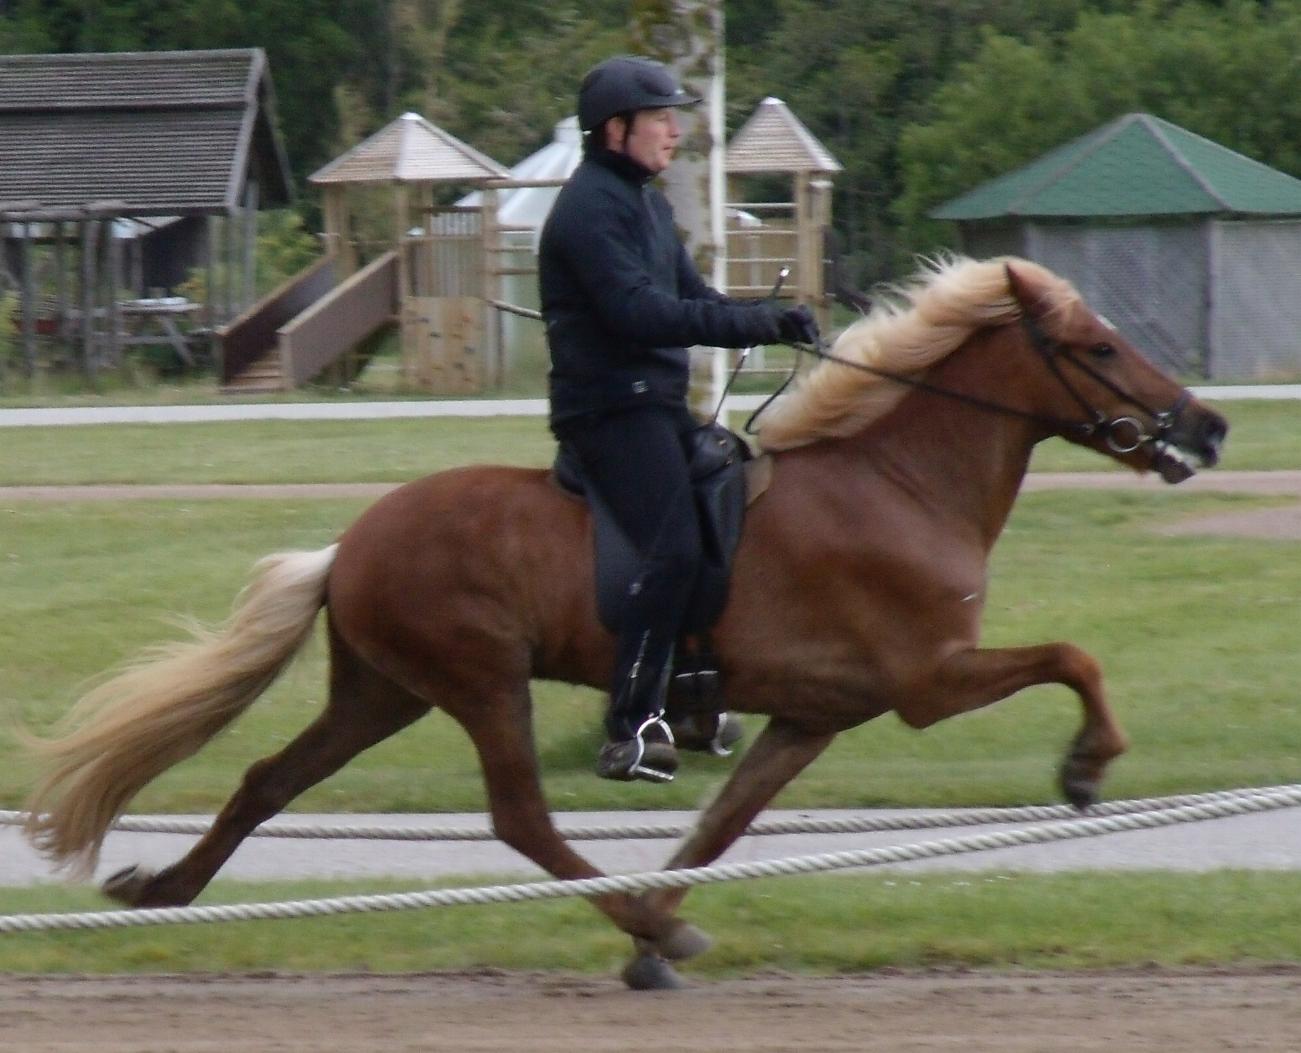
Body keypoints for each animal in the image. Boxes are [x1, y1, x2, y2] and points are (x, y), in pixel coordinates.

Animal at [27, 255, 1228, 984]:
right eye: (1100, 347)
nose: (1205, 426)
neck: (895, 478)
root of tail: (352, 542)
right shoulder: (930, 680)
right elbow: (1072, 655)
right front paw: (1085, 766)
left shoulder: (812, 716)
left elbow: (721, 826)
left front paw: (656, 924)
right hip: (478, 681)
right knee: (520, 819)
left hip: (384, 692)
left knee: (267, 780)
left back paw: (164, 889)